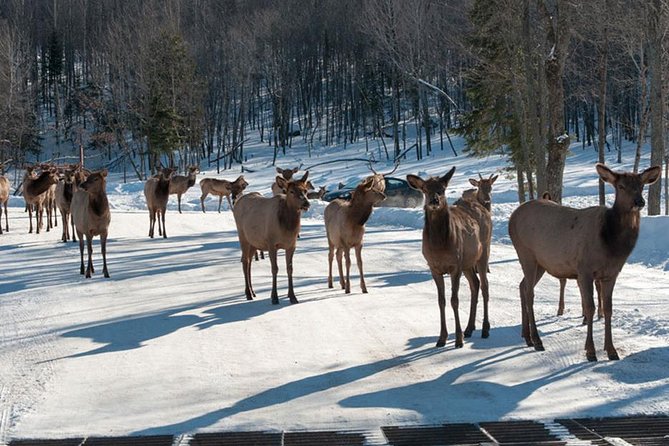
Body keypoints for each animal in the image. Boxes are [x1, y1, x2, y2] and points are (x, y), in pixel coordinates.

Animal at [232, 171, 310, 304]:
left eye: (305, 190)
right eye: (291, 191)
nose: (306, 203)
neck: (287, 228)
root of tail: (237, 202)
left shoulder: (291, 245)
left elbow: (290, 269)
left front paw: (293, 296)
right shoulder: (271, 244)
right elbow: (275, 269)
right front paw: (274, 297)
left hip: (254, 242)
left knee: (249, 261)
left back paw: (253, 292)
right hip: (242, 236)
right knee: (245, 261)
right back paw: (248, 293)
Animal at [404, 166, 482, 346]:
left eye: (442, 188)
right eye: (425, 189)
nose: (434, 201)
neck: (440, 246)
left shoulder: (455, 266)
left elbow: (454, 300)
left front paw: (458, 339)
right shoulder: (434, 268)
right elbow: (441, 301)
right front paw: (442, 338)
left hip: (480, 257)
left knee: (484, 286)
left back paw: (481, 329)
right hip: (467, 265)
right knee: (475, 284)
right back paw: (470, 328)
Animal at [508, 164, 660, 362]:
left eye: (641, 185)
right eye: (621, 186)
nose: (639, 202)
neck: (611, 245)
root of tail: (512, 217)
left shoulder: (611, 274)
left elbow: (609, 309)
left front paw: (611, 350)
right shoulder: (585, 270)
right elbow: (590, 308)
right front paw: (591, 351)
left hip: (541, 262)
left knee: (522, 286)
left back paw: (526, 336)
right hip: (525, 252)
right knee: (529, 292)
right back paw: (537, 340)